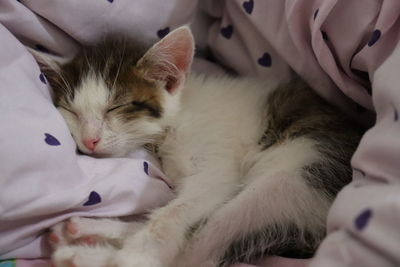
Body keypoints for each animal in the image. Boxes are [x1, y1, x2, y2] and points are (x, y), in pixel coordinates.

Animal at [36, 25, 364, 267]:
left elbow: (174, 213)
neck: (176, 122)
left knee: (199, 250)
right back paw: (86, 232)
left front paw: (134, 255)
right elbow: (174, 209)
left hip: (295, 178)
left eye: (115, 108)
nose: (89, 140)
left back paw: (88, 255)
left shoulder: (216, 167)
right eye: (71, 111)